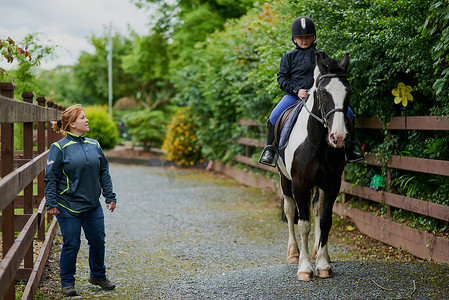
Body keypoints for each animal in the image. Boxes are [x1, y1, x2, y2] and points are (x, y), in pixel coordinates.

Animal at [274, 52, 352, 282]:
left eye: (348, 92)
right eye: (324, 92)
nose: (338, 137)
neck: (317, 142)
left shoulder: (332, 184)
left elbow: (325, 220)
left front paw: (323, 264)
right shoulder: (300, 184)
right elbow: (303, 223)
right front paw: (304, 268)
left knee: (317, 209)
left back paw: (318, 252)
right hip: (285, 180)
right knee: (290, 211)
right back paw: (293, 254)